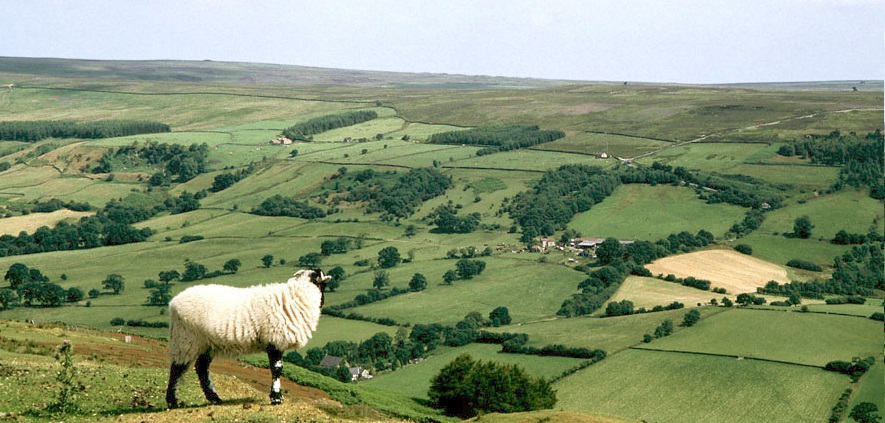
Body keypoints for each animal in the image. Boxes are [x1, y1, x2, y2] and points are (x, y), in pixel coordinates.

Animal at [164, 268, 330, 410]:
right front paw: (276, 398)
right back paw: (173, 402)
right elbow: (277, 369)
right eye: (324, 285)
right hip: (186, 338)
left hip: (207, 343)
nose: (323, 303)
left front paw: (277, 397)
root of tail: (173, 303)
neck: (298, 295)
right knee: (177, 369)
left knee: (201, 368)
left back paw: (215, 399)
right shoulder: (275, 340)